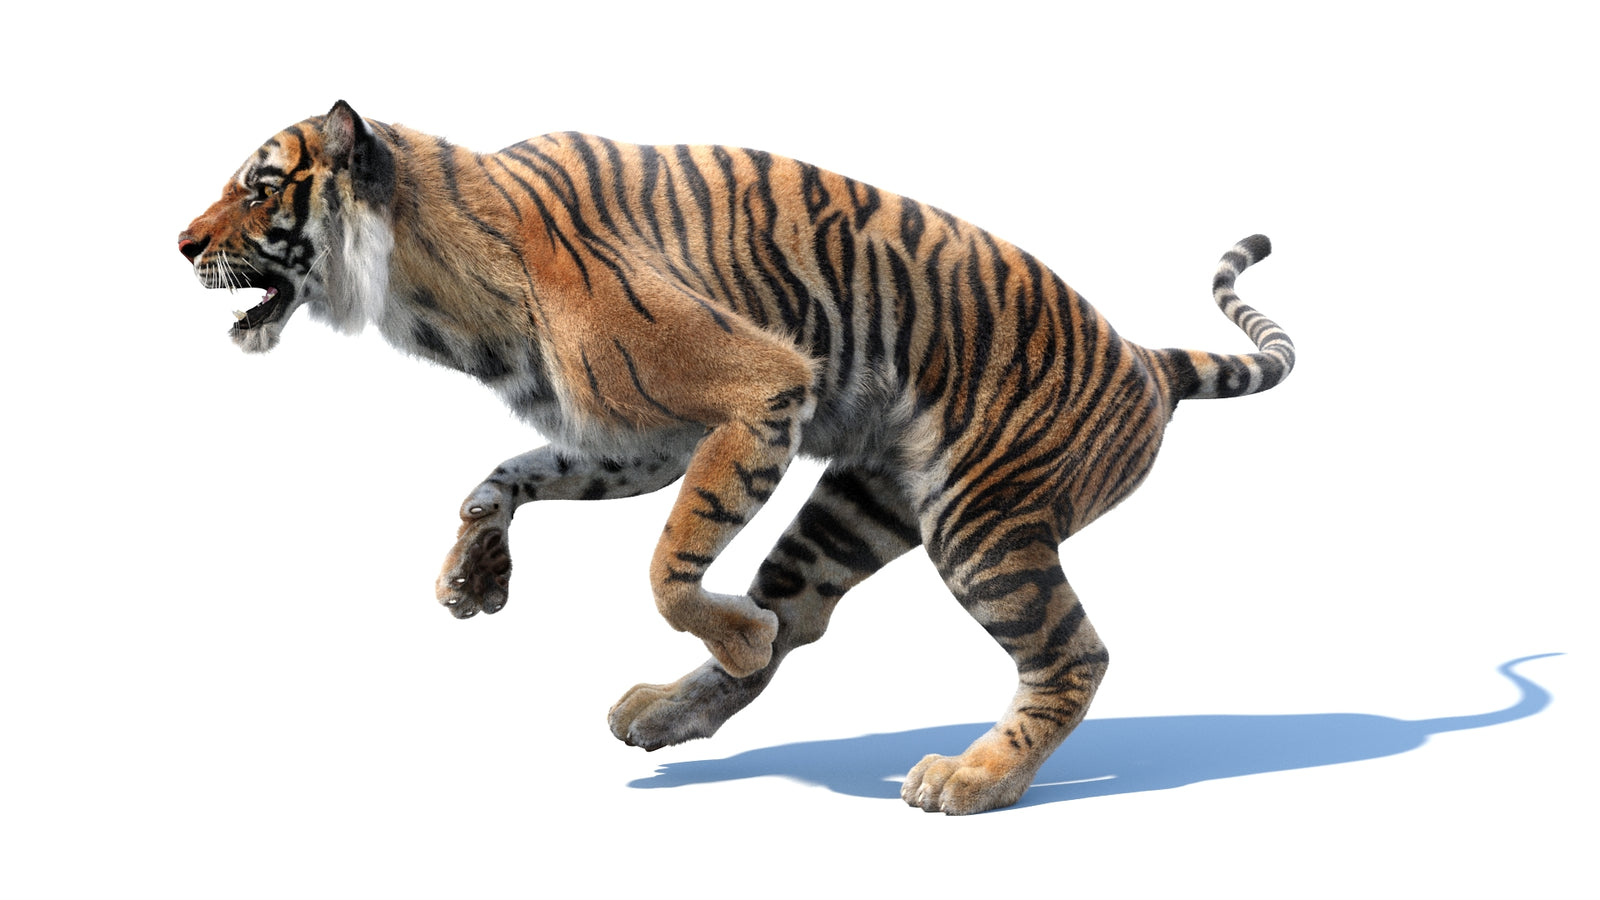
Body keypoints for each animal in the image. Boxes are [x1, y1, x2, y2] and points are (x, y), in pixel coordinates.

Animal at [178, 100, 1295, 814]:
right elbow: (507, 477)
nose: (182, 244)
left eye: (261, 187)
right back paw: (673, 706)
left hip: (981, 523)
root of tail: (1143, 357)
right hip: (857, 507)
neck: (430, 291)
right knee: (797, 615)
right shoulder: (635, 439)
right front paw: (472, 578)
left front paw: (721, 628)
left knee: (1072, 654)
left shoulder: (759, 393)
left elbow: (667, 565)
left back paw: (973, 780)